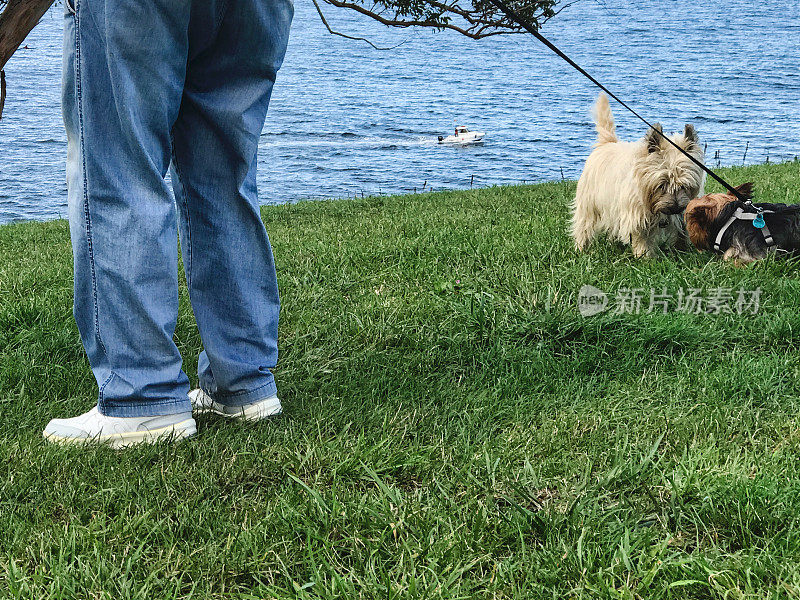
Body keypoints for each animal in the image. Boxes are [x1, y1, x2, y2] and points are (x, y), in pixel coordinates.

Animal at [568, 92, 708, 256]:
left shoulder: (682, 214)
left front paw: (683, 252)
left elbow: (682, 233)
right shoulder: (636, 216)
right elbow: (642, 238)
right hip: (589, 203)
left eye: (684, 185)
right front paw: (645, 257)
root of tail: (607, 143)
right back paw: (581, 248)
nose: (675, 208)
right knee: (584, 225)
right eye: (662, 185)